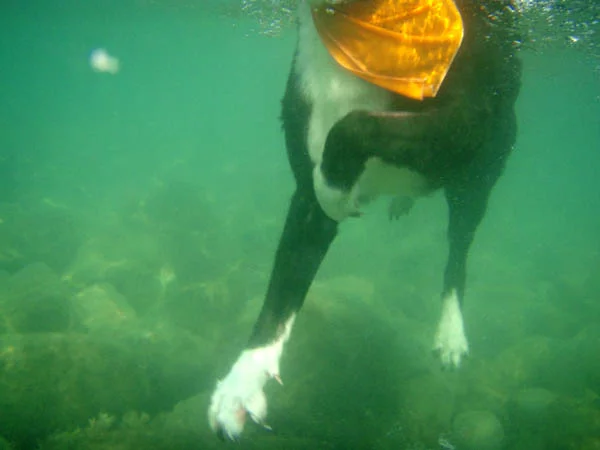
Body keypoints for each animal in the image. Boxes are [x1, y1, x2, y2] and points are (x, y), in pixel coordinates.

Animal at [208, 0, 521, 439]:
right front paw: (242, 382)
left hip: (479, 175)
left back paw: (451, 332)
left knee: (458, 249)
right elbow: (281, 291)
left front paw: (336, 189)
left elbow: (356, 125)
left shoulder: (466, 122)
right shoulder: (305, 194)